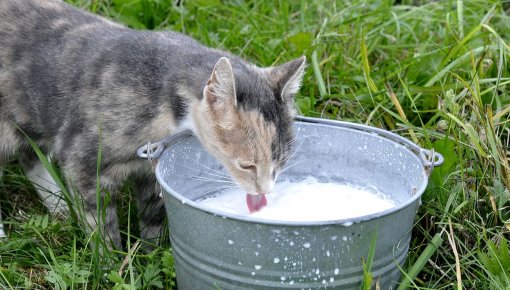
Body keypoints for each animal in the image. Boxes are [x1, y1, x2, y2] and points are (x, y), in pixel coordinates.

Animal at [0, 0, 302, 249]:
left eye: (279, 164)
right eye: (246, 165)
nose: (265, 191)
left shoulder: (151, 170)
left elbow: (153, 214)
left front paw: (150, 252)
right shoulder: (82, 157)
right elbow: (99, 222)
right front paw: (111, 263)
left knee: (30, 156)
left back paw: (59, 206)